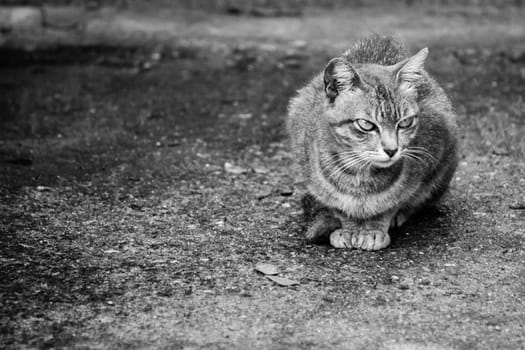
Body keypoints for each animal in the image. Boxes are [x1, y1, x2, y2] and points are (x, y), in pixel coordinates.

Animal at [288, 34, 456, 250]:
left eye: (405, 122)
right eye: (366, 125)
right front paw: (349, 228)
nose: (392, 150)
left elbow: (392, 203)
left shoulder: (426, 162)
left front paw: (375, 228)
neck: (359, 175)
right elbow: (339, 206)